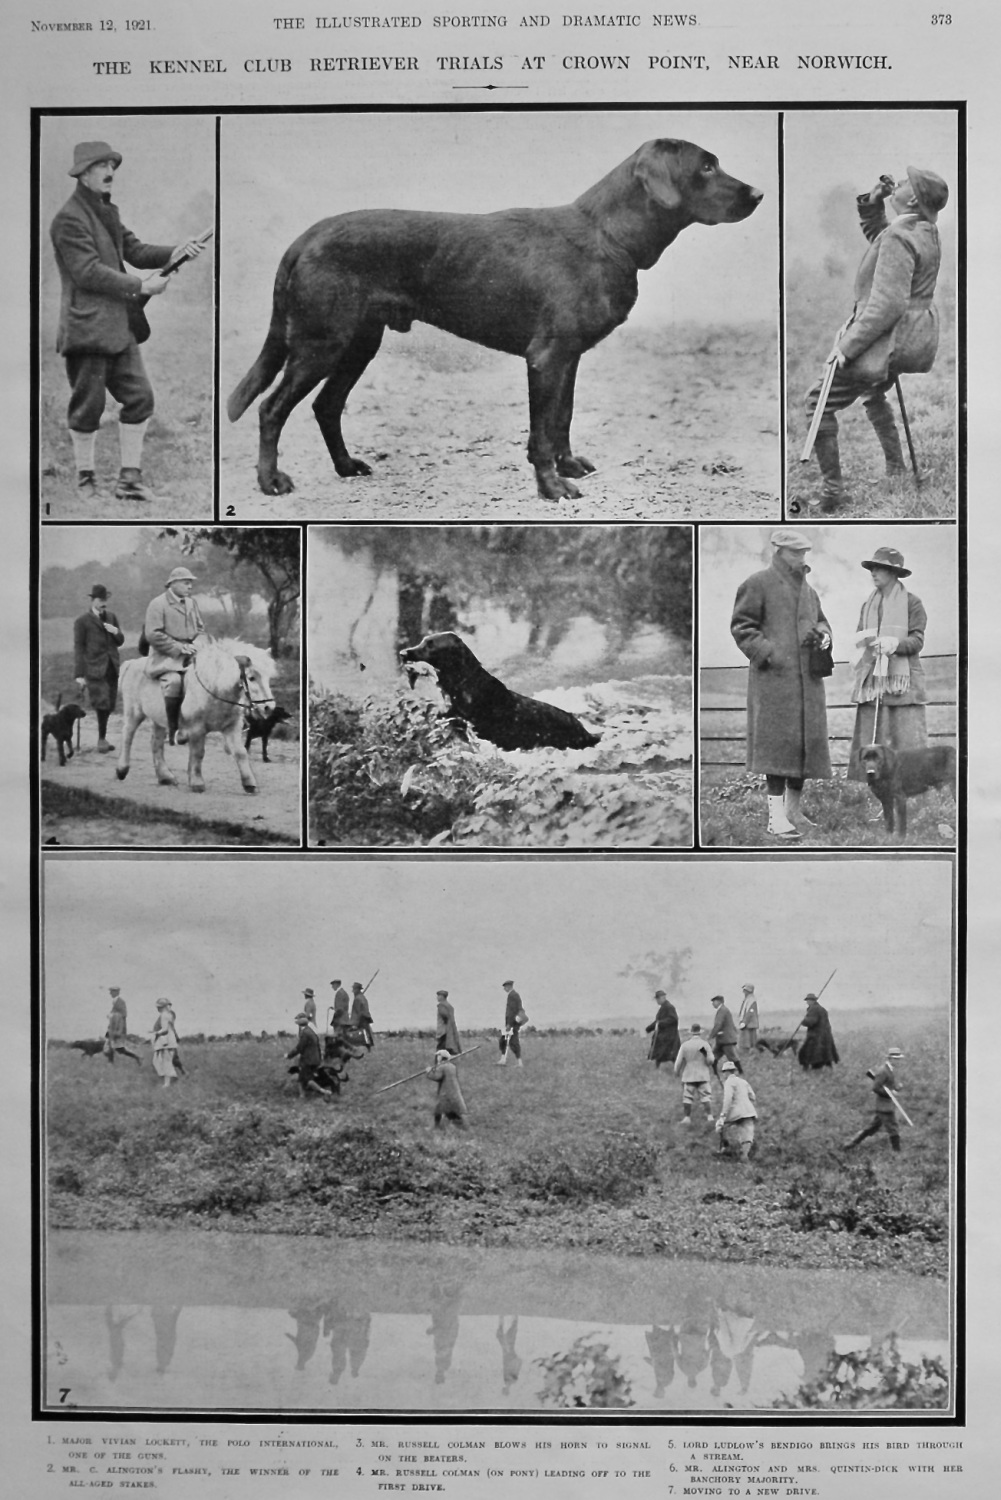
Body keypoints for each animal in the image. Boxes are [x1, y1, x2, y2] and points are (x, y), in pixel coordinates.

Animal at [116, 636, 277, 798]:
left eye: (268, 677)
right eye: (251, 678)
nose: (269, 707)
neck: (214, 688)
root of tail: (131, 663)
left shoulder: (232, 727)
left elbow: (240, 752)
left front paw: (250, 784)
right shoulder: (197, 728)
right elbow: (198, 753)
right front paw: (197, 782)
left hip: (159, 719)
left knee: (156, 743)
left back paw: (165, 776)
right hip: (134, 712)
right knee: (127, 735)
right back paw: (122, 769)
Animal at [226, 136, 759, 498]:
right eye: (707, 166)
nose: (757, 193)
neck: (607, 235)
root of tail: (305, 238)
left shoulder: (568, 359)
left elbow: (561, 420)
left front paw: (567, 467)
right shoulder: (545, 358)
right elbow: (541, 431)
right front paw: (552, 487)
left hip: (359, 343)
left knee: (326, 406)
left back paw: (346, 467)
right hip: (321, 344)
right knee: (272, 409)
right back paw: (271, 481)